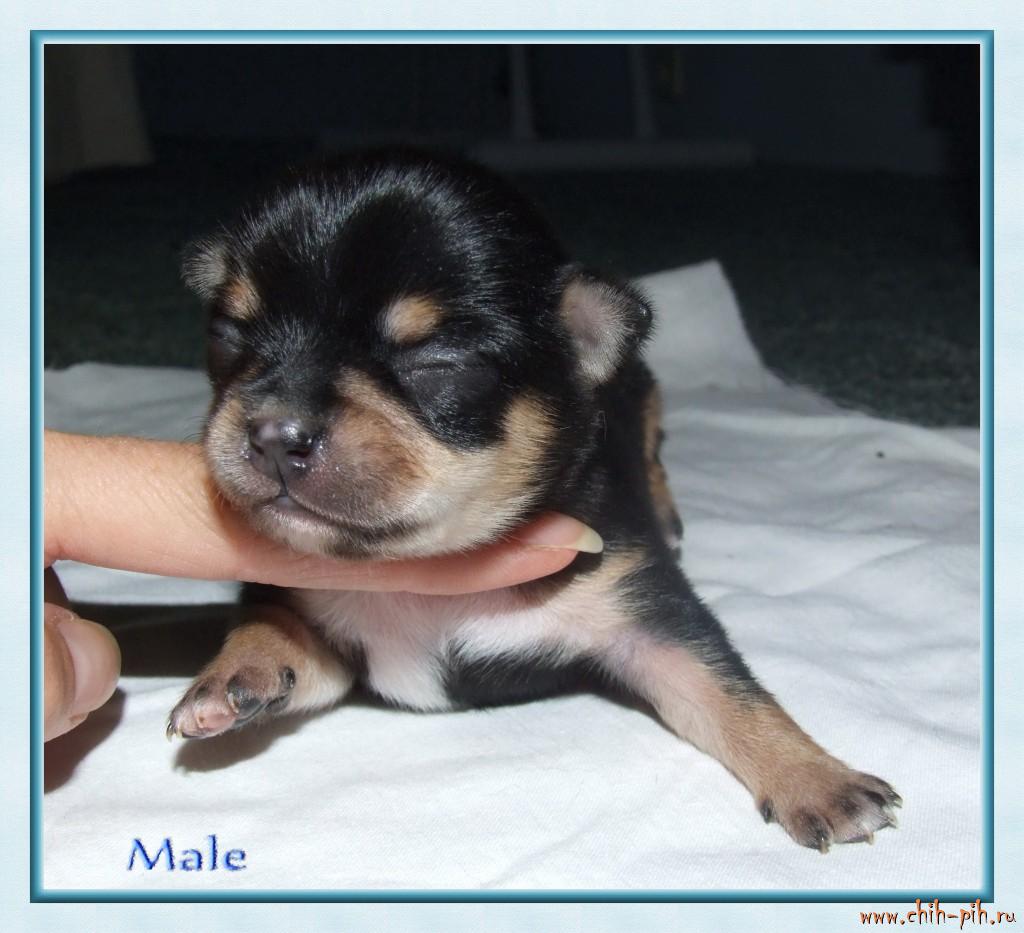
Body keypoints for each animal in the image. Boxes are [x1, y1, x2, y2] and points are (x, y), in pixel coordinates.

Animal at [167, 148, 900, 851]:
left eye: (437, 365)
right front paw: (236, 675)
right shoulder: (327, 624)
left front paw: (819, 779)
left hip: (643, 390)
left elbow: (726, 690)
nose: (271, 433)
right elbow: (275, 623)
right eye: (228, 335)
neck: (429, 568)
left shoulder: (641, 615)